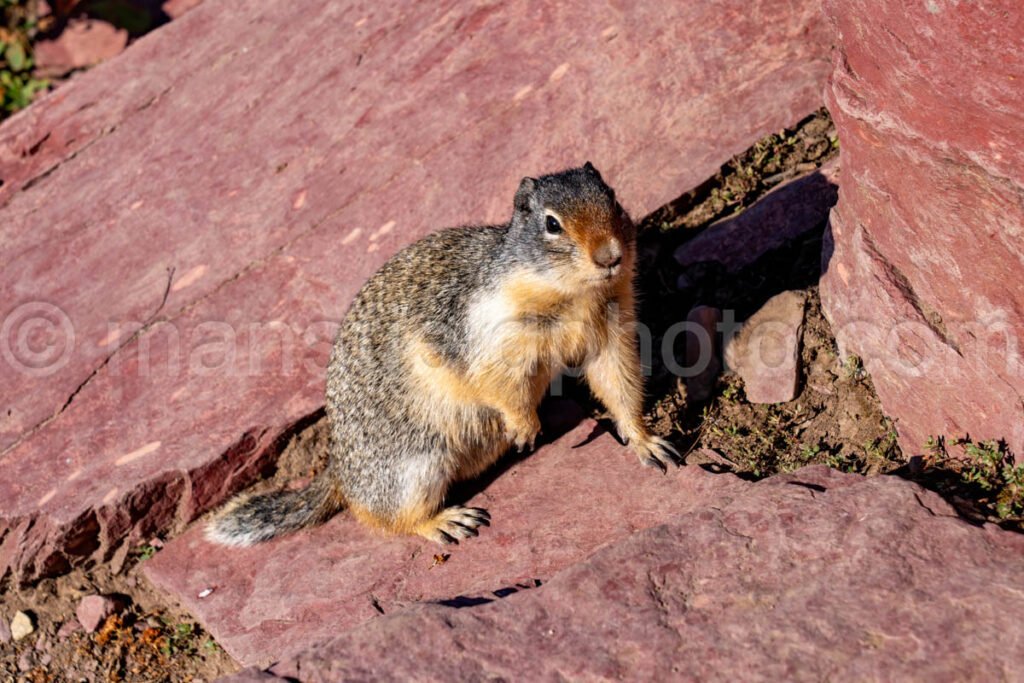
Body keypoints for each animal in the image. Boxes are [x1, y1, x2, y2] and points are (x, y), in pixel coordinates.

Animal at [207, 162, 679, 548]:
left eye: (612, 196)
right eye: (551, 224)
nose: (610, 256)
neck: (573, 295)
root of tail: (339, 471)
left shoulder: (611, 330)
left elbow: (618, 383)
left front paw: (648, 442)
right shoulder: (491, 334)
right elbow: (500, 383)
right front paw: (525, 427)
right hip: (416, 467)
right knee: (384, 520)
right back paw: (447, 521)